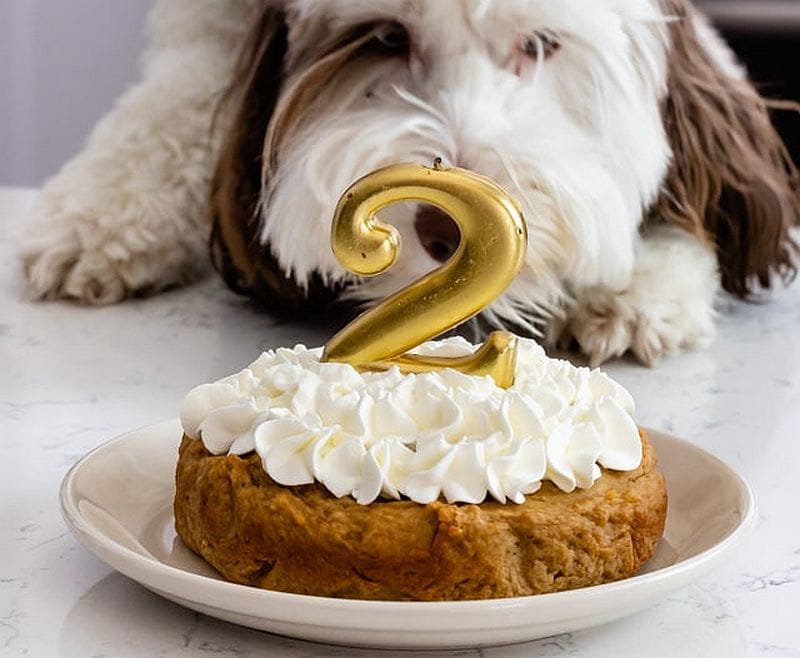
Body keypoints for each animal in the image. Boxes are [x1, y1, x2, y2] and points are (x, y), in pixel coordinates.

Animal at [20, 0, 800, 364]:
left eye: (539, 44)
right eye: (385, 37)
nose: (448, 230)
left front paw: (640, 287)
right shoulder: (205, 32)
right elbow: (168, 108)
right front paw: (93, 218)